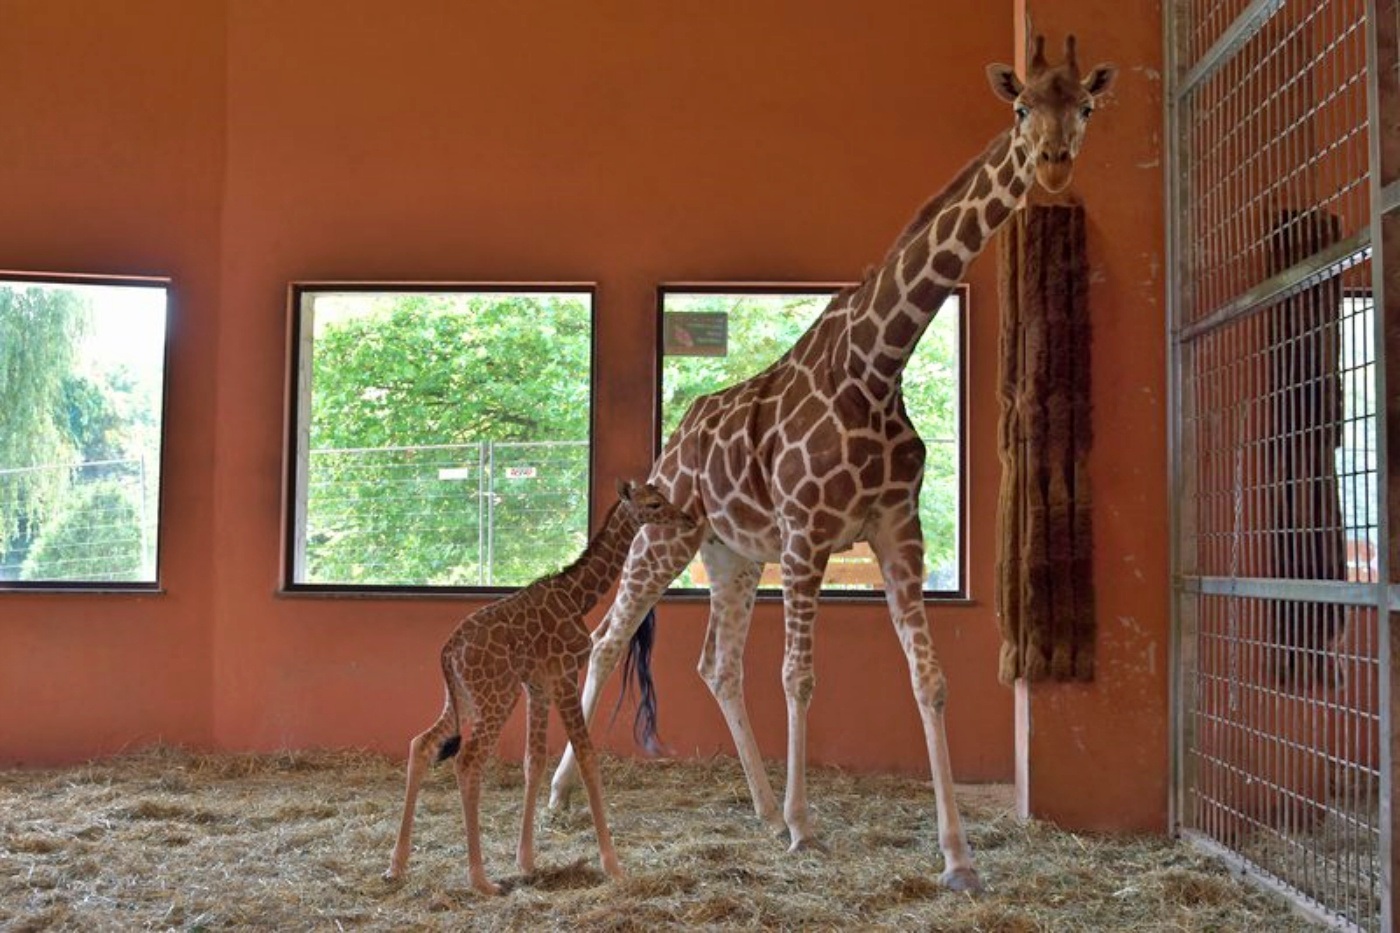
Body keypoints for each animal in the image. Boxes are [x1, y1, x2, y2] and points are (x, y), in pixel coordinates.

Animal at [383, 479, 694, 896]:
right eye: (655, 504)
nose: (687, 518)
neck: (578, 596)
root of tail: (447, 654)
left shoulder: (538, 685)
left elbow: (535, 761)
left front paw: (527, 860)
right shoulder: (563, 676)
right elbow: (587, 756)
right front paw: (614, 866)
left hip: (462, 699)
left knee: (422, 743)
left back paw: (396, 865)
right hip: (496, 697)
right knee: (468, 761)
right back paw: (480, 878)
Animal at [551, 32, 1108, 885]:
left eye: (1084, 106)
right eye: (1019, 106)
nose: (1051, 163)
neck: (877, 365)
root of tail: (673, 442)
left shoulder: (896, 530)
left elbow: (930, 680)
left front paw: (957, 856)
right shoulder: (808, 532)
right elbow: (800, 675)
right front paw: (805, 825)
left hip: (732, 553)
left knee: (716, 663)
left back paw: (755, 804)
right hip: (667, 536)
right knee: (610, 636)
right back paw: (559, 800)